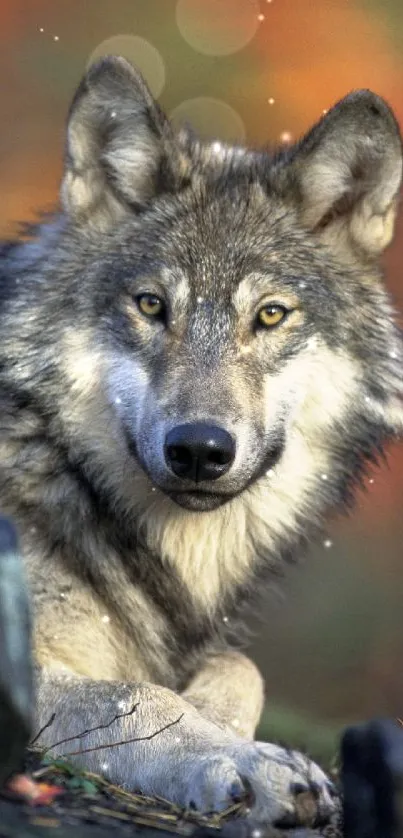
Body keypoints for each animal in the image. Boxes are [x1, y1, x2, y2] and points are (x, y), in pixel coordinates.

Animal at [0, 55, 403, 832]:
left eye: (270, 315)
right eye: (152, 305)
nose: (198, 449)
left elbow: (241, 668)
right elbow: (137, 695)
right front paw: (246, 764)